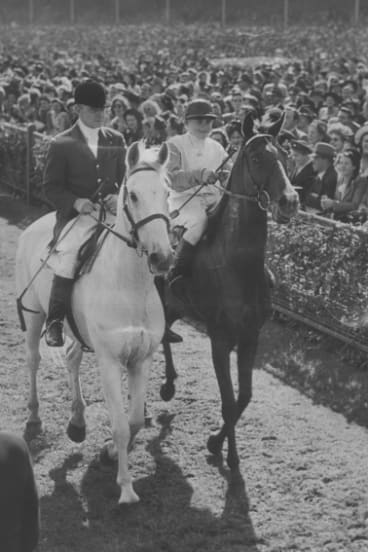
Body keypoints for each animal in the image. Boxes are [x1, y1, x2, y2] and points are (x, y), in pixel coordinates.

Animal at [15, 142, 174, 504]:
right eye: (133, 195)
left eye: (167, 193)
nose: (162, 257)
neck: (130, 285)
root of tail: (37, 223)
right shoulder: (109, 360)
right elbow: (120, 424)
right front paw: (126, 488)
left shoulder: (141, 359)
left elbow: (134, 421)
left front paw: (110, 454)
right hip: (34, 316)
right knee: (33, 361)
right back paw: (34, 416)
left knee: (72, 359)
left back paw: (77, 421)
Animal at [161, 114, 300, 472]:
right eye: (256, 157)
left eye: (285, 154)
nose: (290, 201)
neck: (236, 265)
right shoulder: (221, 339)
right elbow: (226, 400)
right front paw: (228, 453)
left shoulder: (251, 335)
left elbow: (244, 397)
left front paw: (217, 441)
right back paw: (166, 384)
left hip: (175, 304)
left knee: (165, 330)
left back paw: (170, 377)